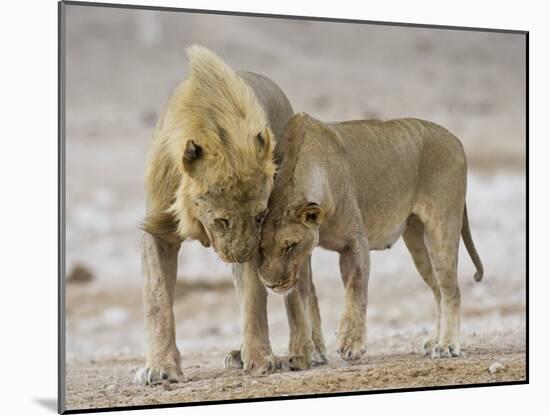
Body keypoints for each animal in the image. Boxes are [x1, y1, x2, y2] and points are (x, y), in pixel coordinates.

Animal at [137, 46, 326, 386]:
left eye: (260, 216)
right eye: (221, 220)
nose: (241, 254)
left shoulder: (261, 239)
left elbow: (254, 299)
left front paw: (261, 359)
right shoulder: (158, 230)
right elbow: (157, 300)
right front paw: (160, 367)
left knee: (302, 288)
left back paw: (309, 350)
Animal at [258, 113, 484, 360]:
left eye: (290, 246)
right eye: (261, 249)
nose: (270, 284)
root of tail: (454, 138)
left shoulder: (355, 241)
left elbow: (355, 289)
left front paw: (351, 344)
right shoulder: (306, 254)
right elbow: (304, 294)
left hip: (441, 227)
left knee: (451, 290)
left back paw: (447, 345)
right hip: (417, 243)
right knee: (437, 290)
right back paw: (435, 341)